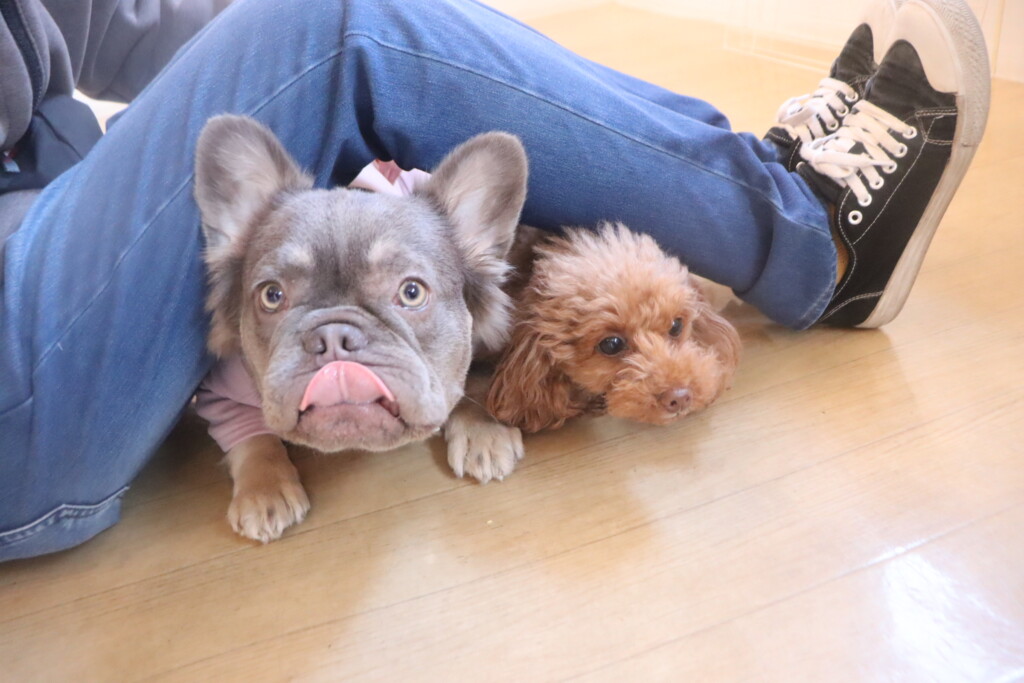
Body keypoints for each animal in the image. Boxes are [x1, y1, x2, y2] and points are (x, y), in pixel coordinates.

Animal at [192, 115, 527, 542]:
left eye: (412, 292)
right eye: (272, 295)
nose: (334, 336)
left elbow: (466, 384)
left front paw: (483, 430)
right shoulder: (220, 393)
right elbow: (252, 437)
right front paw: (262, 488)